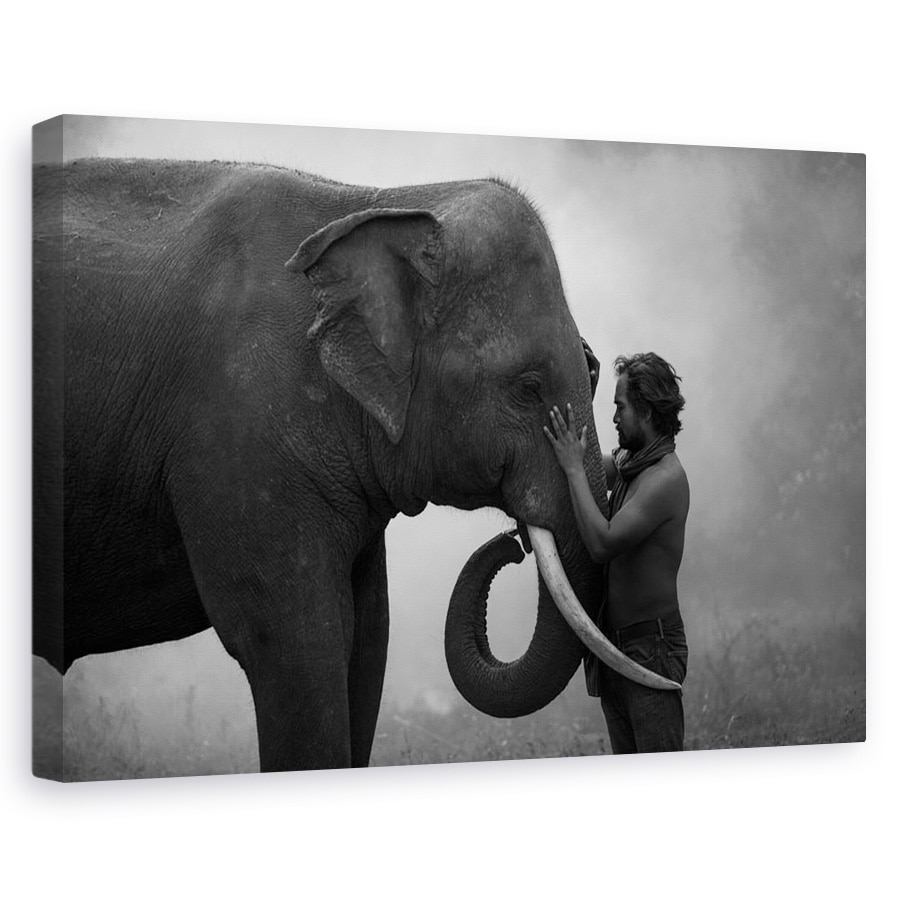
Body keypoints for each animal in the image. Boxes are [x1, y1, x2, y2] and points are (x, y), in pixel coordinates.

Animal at [32, 158, 677, 774]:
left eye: (592, 372)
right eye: (527, 387)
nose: (509, 547)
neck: (376, 203)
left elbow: (368, 638)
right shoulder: (241, 437)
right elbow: (298, 641)